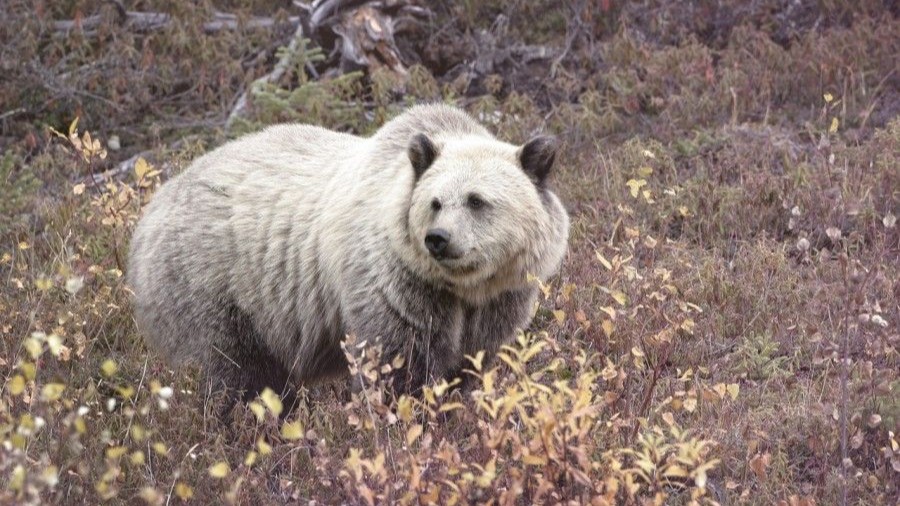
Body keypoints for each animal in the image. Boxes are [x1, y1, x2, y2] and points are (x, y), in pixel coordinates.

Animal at [128, 105, 568, 410]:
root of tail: (151, 209)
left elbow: (469, 364)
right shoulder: (396, 286)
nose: (438, 239)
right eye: (435, 202)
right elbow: (397, 365)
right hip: (213, 285)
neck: (464, 288)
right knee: (234, 370)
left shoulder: (499, 300)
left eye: (477, 200)